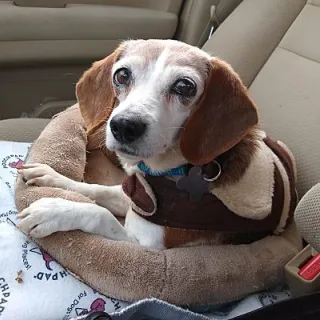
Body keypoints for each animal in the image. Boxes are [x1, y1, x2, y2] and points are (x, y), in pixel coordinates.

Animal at [16, 40, 298, 250]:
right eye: (122, 75)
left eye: (184, 86)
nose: (124, 126)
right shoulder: (134, 197)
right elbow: (96, 190)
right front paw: (52, 177)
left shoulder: (145, 245)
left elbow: (99, 214)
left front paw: (52, 210)